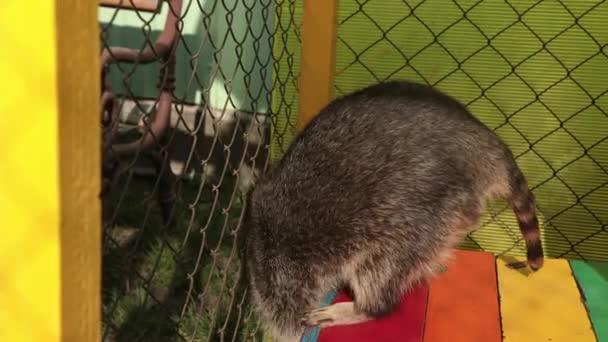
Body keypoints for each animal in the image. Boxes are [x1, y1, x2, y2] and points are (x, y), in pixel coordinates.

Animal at [240, 81, 544, 342]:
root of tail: (486, 148)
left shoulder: (278, 264)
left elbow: (286, 320)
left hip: (416, 209)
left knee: (379, 267)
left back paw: (364, 307)